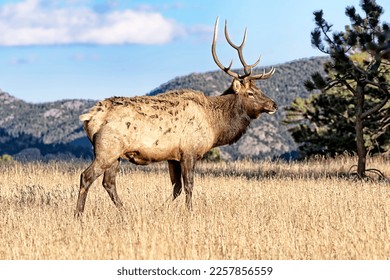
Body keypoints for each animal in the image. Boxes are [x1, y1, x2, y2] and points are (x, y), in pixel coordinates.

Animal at [74, 17, 278, 215]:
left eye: (259, 89)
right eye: (250, 93)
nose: (273, 104)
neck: (214, 126)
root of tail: (91, 116)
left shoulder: (173, 157)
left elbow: (176, 188)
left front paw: (159, 209)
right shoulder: (189, 151)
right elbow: (189, 185)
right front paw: (189, 212)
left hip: (115, 154)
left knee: (108, 182)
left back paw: (125, 212)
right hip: (107, 149)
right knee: (86, 176)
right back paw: (79, 214)